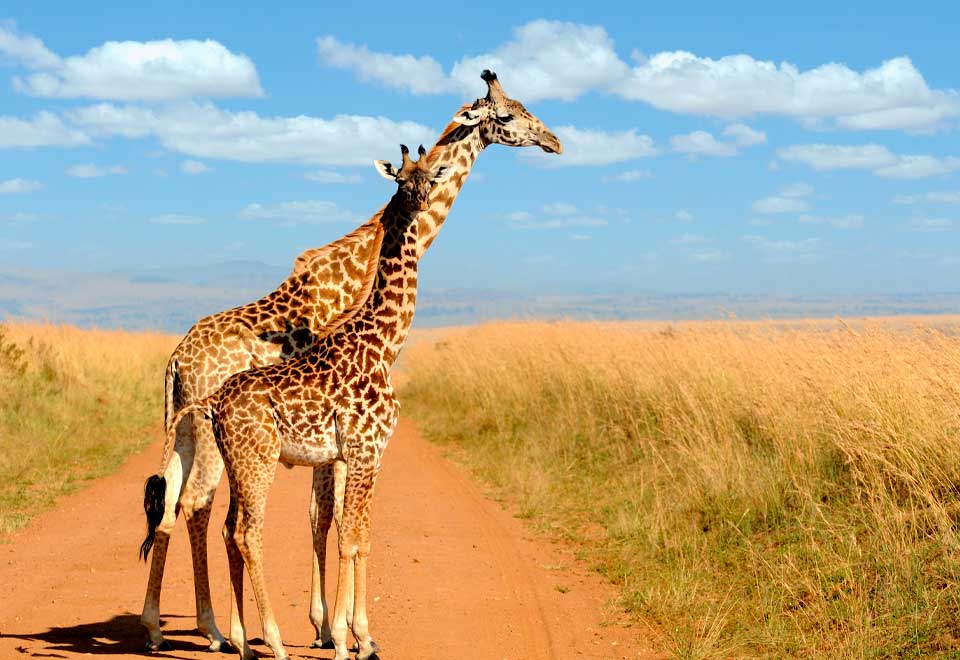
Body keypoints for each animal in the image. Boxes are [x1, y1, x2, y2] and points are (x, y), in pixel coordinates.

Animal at [138, 69, 562, 653]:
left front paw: (326, 627)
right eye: (508, 115)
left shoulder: (334, 443)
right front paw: (348, 633)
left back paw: (159, 625)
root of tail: (177, 360)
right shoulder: (347, 438)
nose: (554, 141)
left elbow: (325, 520)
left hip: (180, 430)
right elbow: (336, 521)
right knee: (199, 508)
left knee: (169, 509)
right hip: (212, 440)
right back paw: (216, 629)